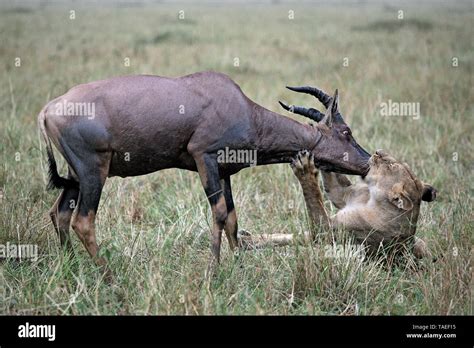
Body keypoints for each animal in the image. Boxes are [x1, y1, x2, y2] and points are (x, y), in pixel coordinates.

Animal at [38, 70, 370, 272]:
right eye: (346, 132)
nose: (367, 163)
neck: (238, 104)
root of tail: (47, 110)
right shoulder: (204, 158)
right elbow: (219, 213)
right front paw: (213, 270)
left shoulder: (224, 172)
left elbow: (233, 218)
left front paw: (237, 266)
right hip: (93, 172)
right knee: (83, 221)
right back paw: (109, 276)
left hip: (76, 177)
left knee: (59, 214)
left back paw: (71, 266)